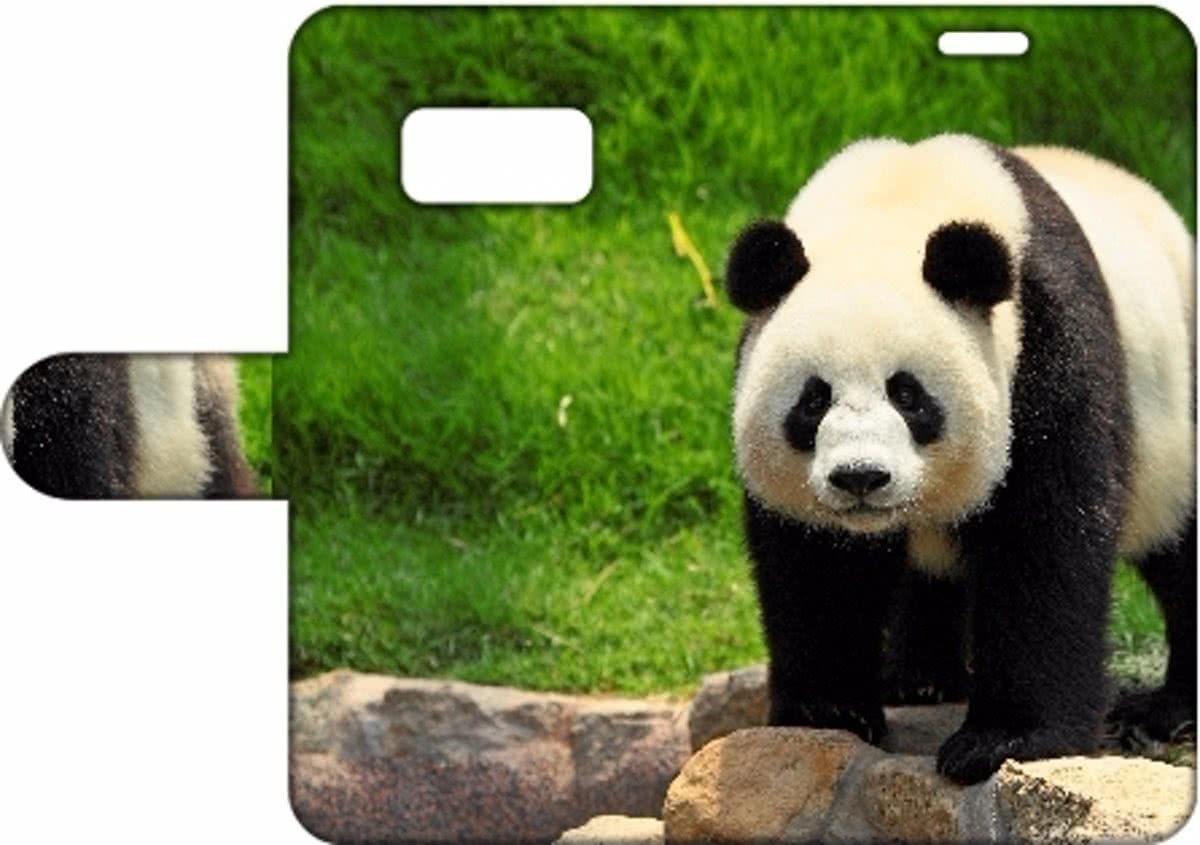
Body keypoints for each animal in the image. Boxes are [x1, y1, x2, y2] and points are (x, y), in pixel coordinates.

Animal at [727, 134, 1195, 785]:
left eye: (908, 394)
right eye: (813, 400)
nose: (861, 478)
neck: (894, 203)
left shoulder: (1046, 345)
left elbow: (1043, 541)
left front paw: (1003, 741)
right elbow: (816, 562)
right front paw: (829, 711)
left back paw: (1164, 710)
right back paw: (919, 678)